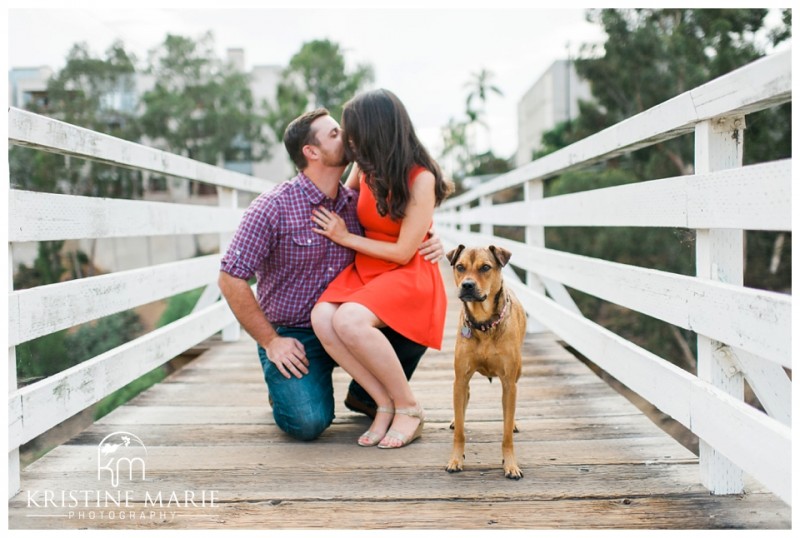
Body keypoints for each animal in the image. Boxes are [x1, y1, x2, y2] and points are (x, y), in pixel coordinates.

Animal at [444, 243, 524, 478]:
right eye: (460, 267)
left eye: (485, 267)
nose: (467, 285)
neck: (483, 323)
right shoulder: (460, 378)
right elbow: (461, 432)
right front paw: (455, 459)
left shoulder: (508, 382)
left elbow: (506, 434)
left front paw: (510, 464)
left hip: (517, 372)